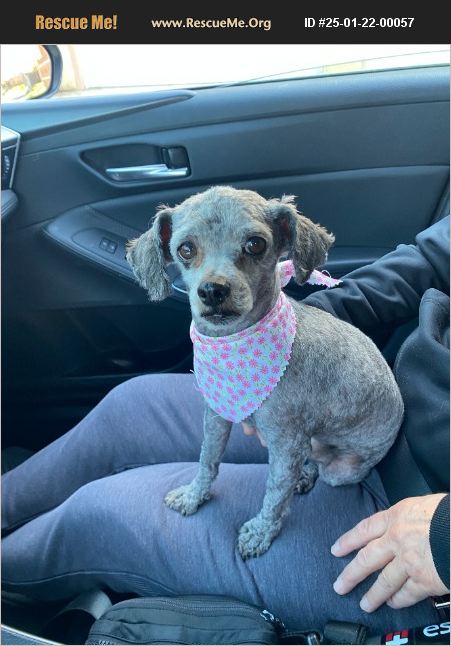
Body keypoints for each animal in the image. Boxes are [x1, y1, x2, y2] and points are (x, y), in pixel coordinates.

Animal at [126, 186, 403, 559]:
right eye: (185, 249)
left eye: (255, 244)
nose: (213, 290)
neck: (235, 347)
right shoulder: (215, 416)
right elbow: (207, 460)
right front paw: (194, 495)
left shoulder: (286, 444)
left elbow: (274, 495)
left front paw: (261, 532)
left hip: (341, 469)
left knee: (320, 471)